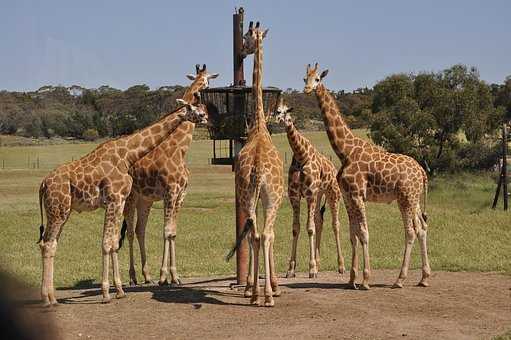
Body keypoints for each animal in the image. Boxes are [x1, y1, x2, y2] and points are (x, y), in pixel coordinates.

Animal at [35, 97, 208, 306]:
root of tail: (43, 184)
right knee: (47, 244)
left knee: (51, 245)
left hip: (63, 212)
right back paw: (47, 298)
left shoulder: (119, 201)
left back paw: (52, 296)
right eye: (194, 109)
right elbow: (106, 243)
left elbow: (113, 242)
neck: (127, 155)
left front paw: (118, 290)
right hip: (57, 211)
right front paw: (106, 293)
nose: (205, 117)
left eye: (202, 108)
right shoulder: (114, 199)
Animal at [120, 63, 220, 284]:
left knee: (140, 229)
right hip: (131, 198)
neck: (179, 148)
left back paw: (146, 275)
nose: (200, 94)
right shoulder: (170, 192)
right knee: (130, 231)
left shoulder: (181, 194)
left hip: (145, 199)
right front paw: (164, 276)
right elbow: (166, 232)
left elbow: (173, 232)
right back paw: (133, 277)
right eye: (206, 82)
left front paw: (175, 275)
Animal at [272, 99, 348, 280]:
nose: (277, 120)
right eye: (275, 110)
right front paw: (291, 269)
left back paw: (341, 266)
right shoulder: (295, 196)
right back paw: (319, 265)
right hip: (319, 195)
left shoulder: (310, 194)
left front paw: (311, 269)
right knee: (320, 220)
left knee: (335, 224)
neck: (301, 155)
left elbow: (310, 228)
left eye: (285, 111)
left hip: (333, 194)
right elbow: (296, 228)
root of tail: (333, 168)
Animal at [304, 63, 432, 290]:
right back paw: (424, 278)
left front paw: (365, 279)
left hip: (405, 198)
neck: (345, 151)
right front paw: (351, 279)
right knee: (422, 228)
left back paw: (400, 279)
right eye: (304, 78)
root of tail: (423, 173)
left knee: (410, 231)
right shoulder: (348, 197)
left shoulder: (357, 195)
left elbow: (364, 233)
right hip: (414, 199)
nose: (307, 89)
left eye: (317, 78)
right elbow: (353, 233)